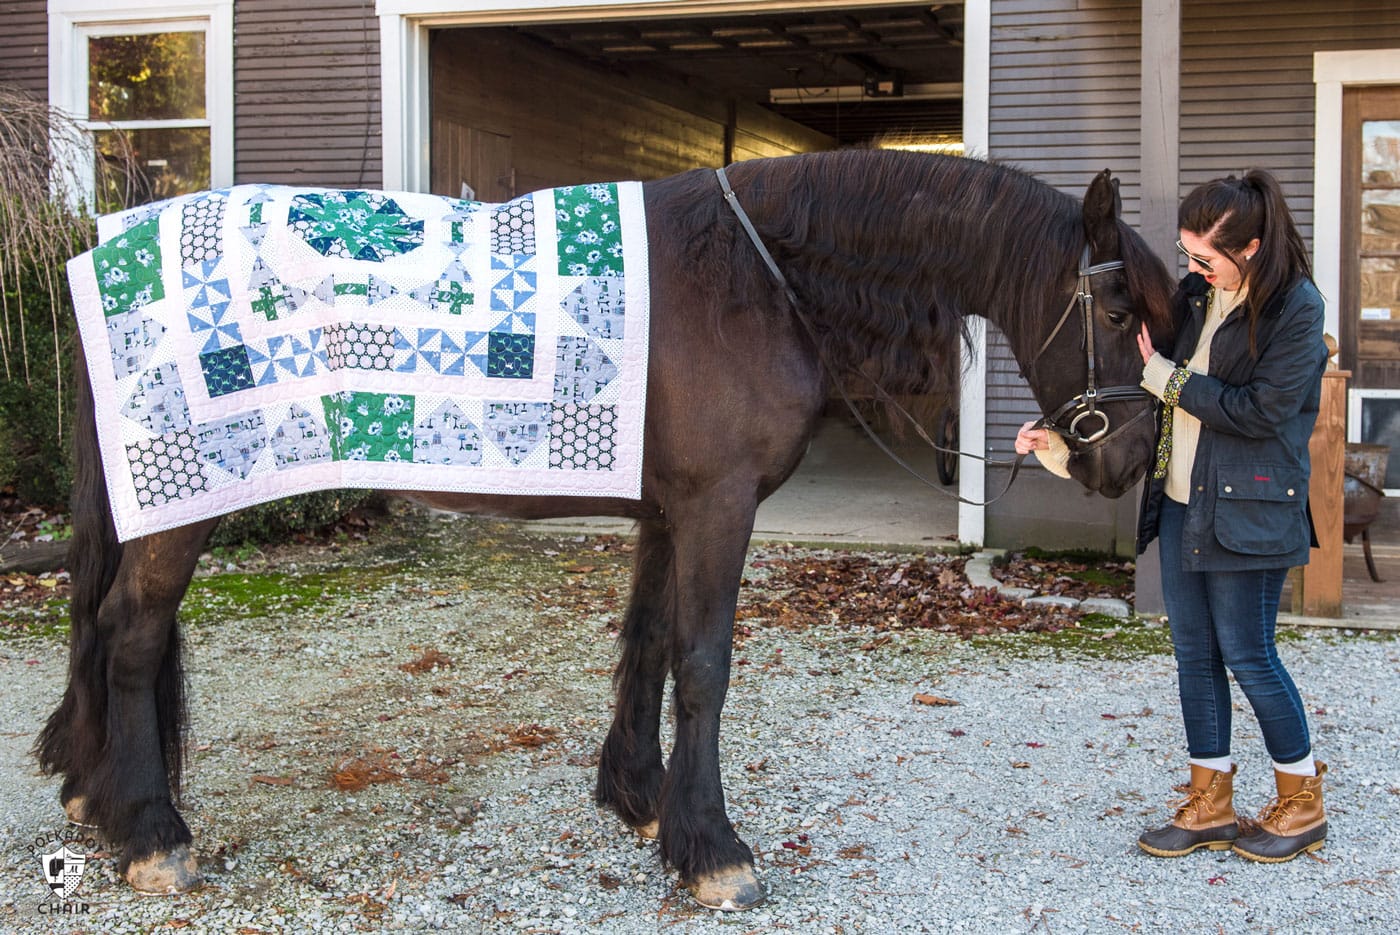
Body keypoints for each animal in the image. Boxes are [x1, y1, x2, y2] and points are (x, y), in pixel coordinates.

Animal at [35, 149, 1170, 907]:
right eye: (1119, 315)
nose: (1123, 464)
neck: (757, 277)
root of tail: (104, 248)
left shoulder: (669, 506)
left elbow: (652, 643)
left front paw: (641, 797)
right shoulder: (716, 504)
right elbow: (704, 664)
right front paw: (713, 847)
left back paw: (98, 794)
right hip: (185, 502)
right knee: (129, 635)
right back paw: (151, 833)